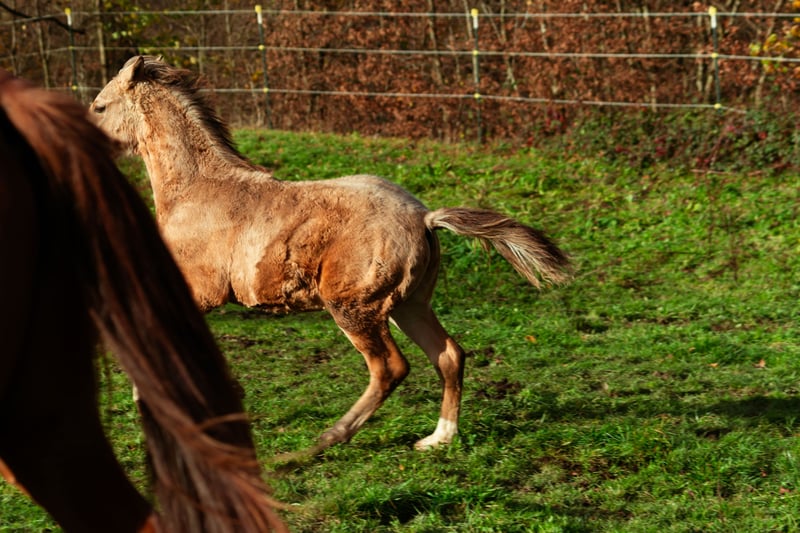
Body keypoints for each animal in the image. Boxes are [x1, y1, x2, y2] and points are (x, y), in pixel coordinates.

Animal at [90, 55, 572, 452]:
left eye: (99, 107)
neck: (195, 192)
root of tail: (424, 216)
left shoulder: (199, 292)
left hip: (353, 306)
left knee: (390, 368)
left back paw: (328, 439)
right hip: (410, 304)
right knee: (449, 355)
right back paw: (437, 439)